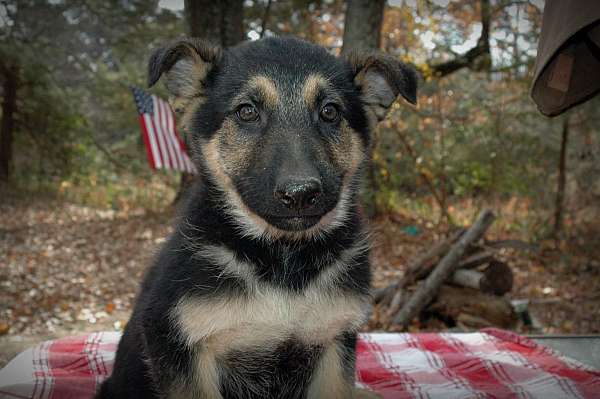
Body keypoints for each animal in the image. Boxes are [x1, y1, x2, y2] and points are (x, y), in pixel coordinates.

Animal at [98, 37, 418, 399]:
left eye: (330, 112)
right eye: (247, 111)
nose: (300, 194)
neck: (283, 258)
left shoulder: (334, 345)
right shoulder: (178, 346)